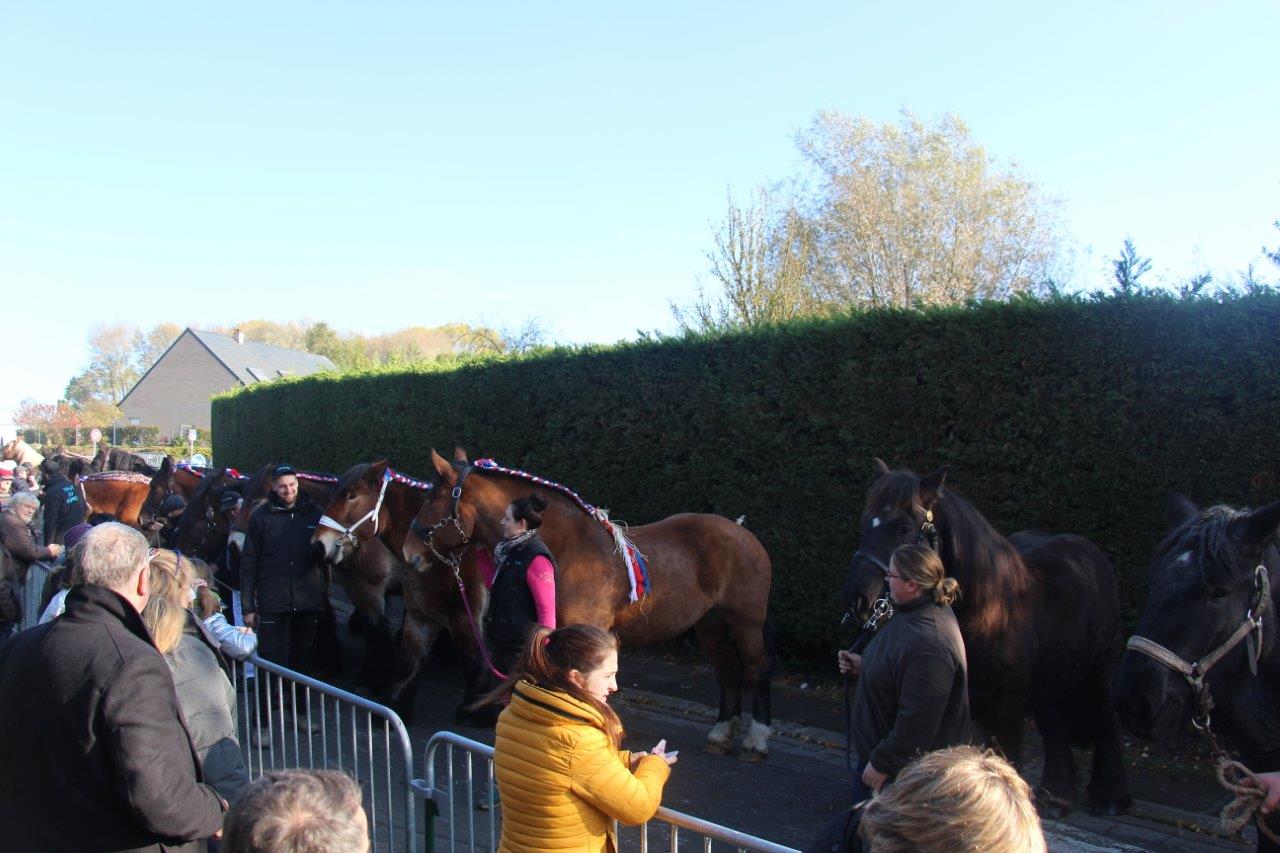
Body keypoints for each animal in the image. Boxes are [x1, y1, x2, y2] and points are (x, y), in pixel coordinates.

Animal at [404, 448, 773, 753]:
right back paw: (721, 734)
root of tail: (742, 532)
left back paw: (756, 739)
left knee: (755, 668)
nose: (409, 553)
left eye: (431, 500)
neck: (566, 547)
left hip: (747, 622)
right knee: (727, 669)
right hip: (709, 623)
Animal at [839, 458, 1131, 819]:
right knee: (1054, 722)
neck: (991, 610)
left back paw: (1111, 796)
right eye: (867, 523)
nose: (857, 599)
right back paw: (1057, 797)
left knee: (1106, 718)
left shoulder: (1006, 707)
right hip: (1049, 678)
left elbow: (1007, 759)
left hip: (1099, 671)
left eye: (904, 528)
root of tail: (1089, 552)